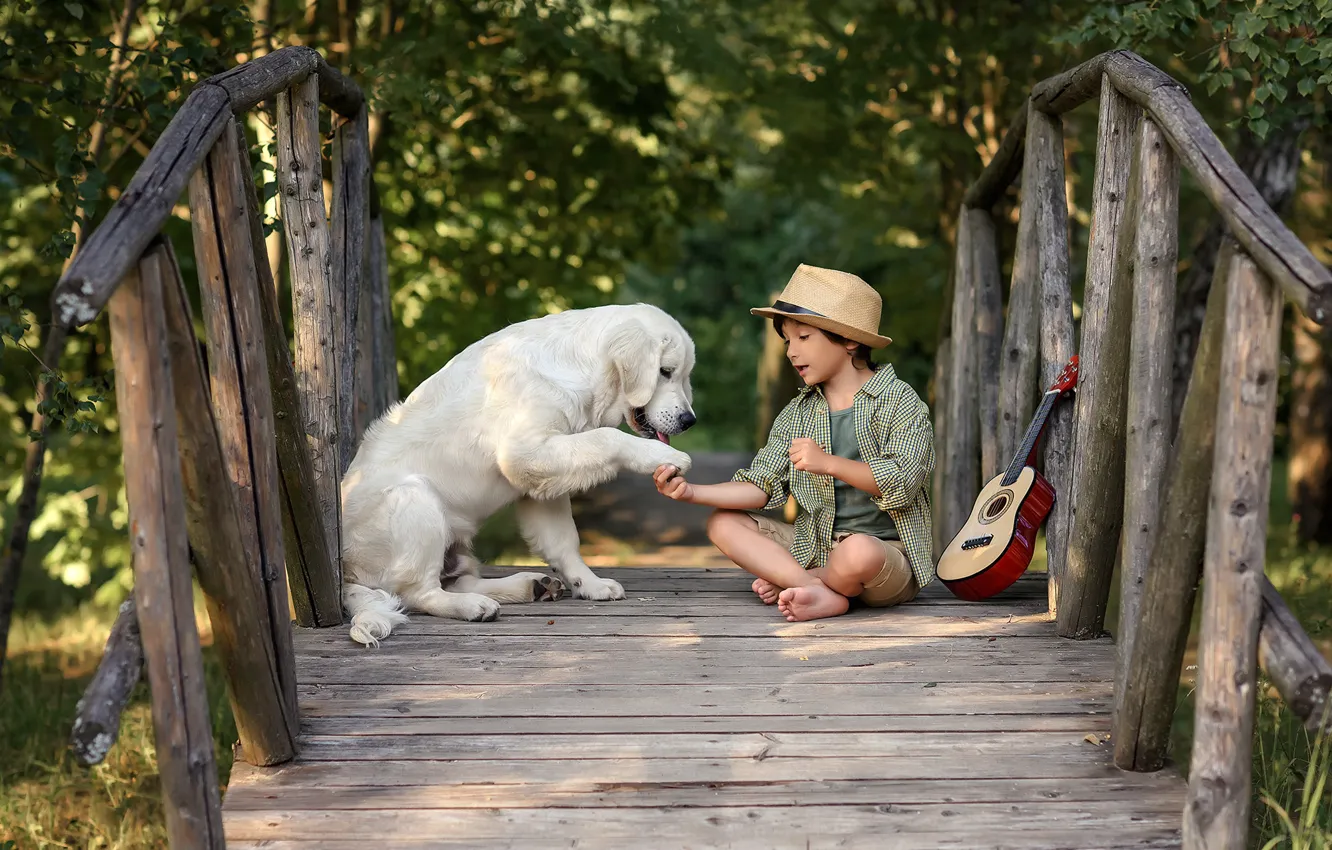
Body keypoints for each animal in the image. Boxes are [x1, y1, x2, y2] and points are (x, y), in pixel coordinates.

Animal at [338, 305, 697, 644]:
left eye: (682, 375)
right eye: (664, 372)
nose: (689, 421)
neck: (578, 369)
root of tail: (345, 572)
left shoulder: (544, 480)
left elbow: (564, 541)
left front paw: (590, 584)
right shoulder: (526, 454)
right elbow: (607, 437)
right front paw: (666, 456)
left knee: (455, 581)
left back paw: (531, 585)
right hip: (414, 498)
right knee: (418, 592)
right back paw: (474, 606)